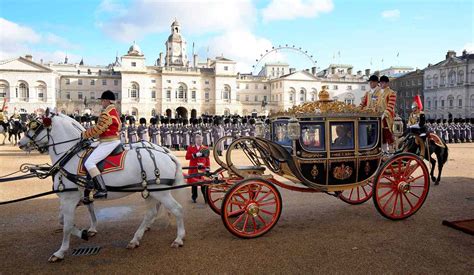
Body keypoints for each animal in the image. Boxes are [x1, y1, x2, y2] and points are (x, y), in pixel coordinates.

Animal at [18, 111, 185, 264]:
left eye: (35, 126)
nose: (21, 143)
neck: (69, 157)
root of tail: (167, 154)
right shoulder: (77, 197)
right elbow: (66, 220)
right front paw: (85, 232)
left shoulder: (69, 199)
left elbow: (67, 225)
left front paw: (61, 251)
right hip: (150, 191)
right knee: (150, 213)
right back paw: (135, 239)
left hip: (161, 192)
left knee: (177, 209)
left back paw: (178, 239)